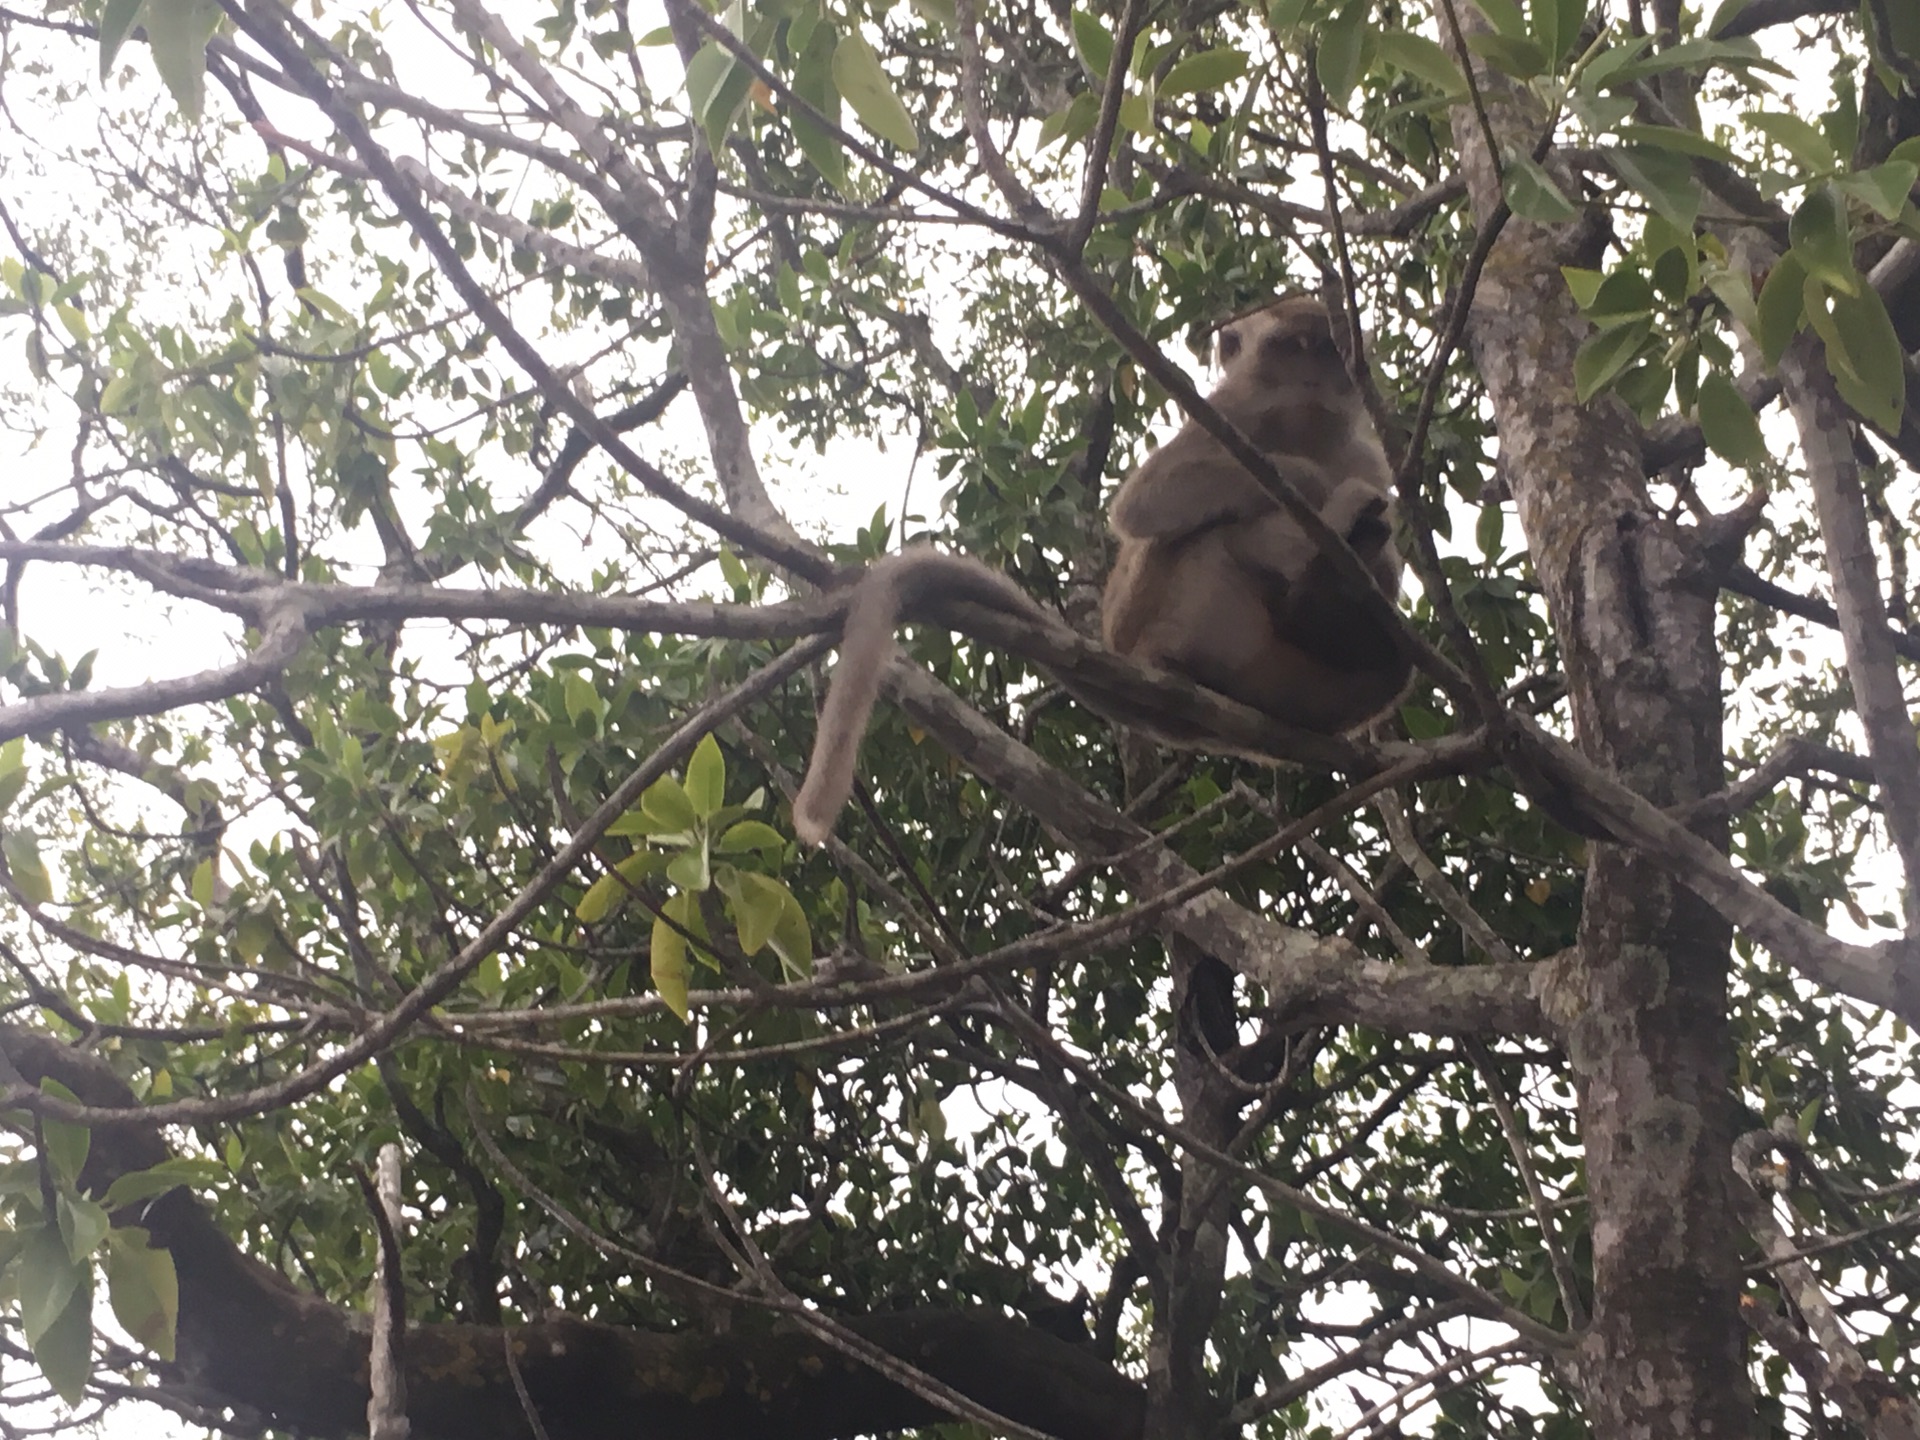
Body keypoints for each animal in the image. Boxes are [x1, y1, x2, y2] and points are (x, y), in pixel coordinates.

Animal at [791, 299, 1413, 852]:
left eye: (1326, 348)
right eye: (1292, 346)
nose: (1314, 380)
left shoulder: (1360, 448)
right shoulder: (1235, 411)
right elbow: (1147, 502)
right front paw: (1310, 483)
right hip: (1186, 608)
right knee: (1209, 537)